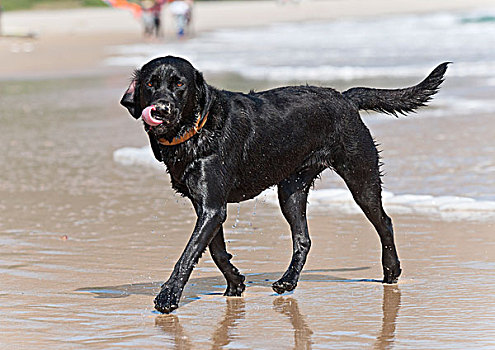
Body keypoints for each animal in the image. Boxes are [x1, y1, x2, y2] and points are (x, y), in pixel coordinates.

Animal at [121, 56, 450, 314]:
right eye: (150, 84)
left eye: (179, 85)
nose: (161, 109)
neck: (196, 129)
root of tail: (345, 97)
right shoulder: (208, 207)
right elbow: (216, 251)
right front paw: (236, 283)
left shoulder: (212, 208)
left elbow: (188, 255)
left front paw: (168, 297)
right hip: (290, 190)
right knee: (303, 239)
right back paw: (288, 280)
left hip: (361, 178)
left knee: (385, 222)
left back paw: (391, 271)